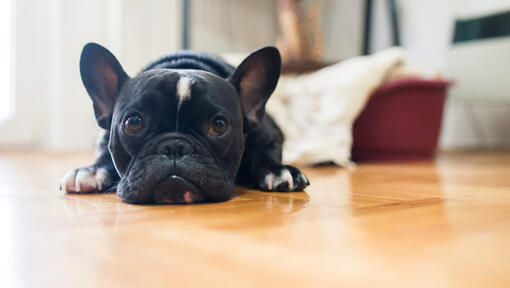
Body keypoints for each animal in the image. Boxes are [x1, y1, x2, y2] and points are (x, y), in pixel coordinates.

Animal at [59, 43, 306, 205]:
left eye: (219, 124)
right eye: (133, 122)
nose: (174, 146)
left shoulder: (270, 134)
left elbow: (267, 153)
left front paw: (277, 170)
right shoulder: (103, 137)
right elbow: (103, 154)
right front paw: (92, 171)